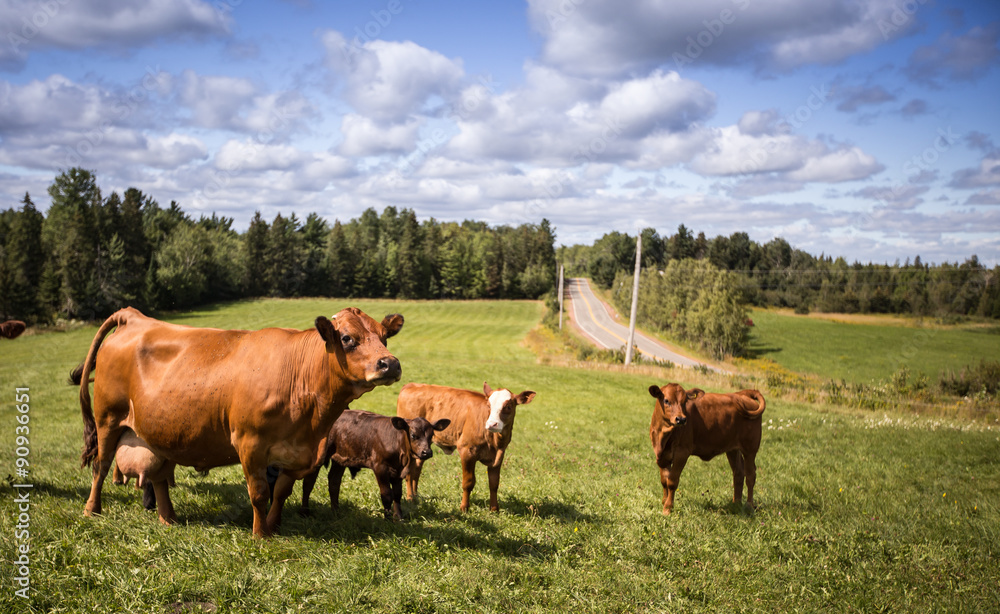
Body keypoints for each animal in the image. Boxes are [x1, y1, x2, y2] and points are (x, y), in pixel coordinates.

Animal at [76, 306, 402, 536]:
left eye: (384, 337)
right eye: (347, 339)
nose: (390, 363)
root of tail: (135, 317)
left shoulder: (295, 452)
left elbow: (280, 493)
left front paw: (274, 527)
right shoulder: (250, 442)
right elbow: (258, 493)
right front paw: (260, 535)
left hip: (160, 431)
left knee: (158, 476)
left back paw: (168, 518)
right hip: (108, 419)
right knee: (101, 467)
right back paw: (92, 510)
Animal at [292, 412, 450, 524]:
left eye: (431, 435)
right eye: (413, 435)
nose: (426, 452)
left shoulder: (397, 471)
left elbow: (397, 494)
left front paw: (399, 517)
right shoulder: (380, 467)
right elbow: (387, 494)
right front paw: (387, 519)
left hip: (340, 458)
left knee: (334, 482)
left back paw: (336, 511)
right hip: (320, 456)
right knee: (308, 483)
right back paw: (304, 512)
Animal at [398, 384, 540, 516]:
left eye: (509, 406)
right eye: (488, 405)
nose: (491, 424)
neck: (495, 442)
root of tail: (411, 385)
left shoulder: (499, 456)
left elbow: (494, 483)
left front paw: (494, 509)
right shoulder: (467, 451)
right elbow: (468, 482)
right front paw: (464, 508)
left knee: (416, 469)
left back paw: (415, 496)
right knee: (409, 471)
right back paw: (410, 498)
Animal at [648, 384, 764, 516]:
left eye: (685, 401)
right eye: (666, 401)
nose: (681, 419)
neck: (663, 436)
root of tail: (741, 395)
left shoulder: (682, 453)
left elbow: (672, 481)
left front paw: (667, 508)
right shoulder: (661, 456)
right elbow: (664, 481)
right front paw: (664, 502)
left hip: (750, 449)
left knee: (750, 475)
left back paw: (749, 506)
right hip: (733, 450)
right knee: (738, 473)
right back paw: (736, 504)